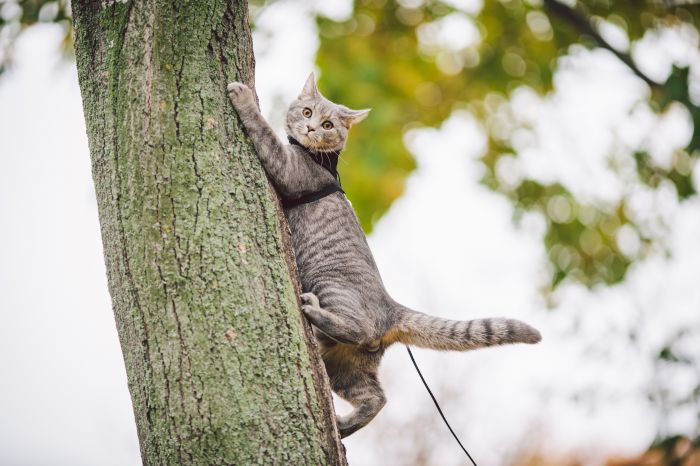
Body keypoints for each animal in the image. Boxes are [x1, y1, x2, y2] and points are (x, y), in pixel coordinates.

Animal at [226, 74, 540, 438]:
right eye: (306, 112)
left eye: (328, 124)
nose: (310, 128)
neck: (318, 158)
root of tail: (391, 308)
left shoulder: (287, 169)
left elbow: (264, 132)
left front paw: (243, 97)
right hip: (344, 367)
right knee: (376, 398)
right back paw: (343, 425)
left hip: (330, 286)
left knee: (359, 330)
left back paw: (314, 311)